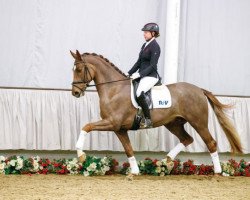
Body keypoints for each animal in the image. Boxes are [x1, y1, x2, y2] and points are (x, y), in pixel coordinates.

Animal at [70, 49, 242, 175]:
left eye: (79, 69)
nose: (75, 93)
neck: (114, 90)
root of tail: (199, 90)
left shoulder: (112, 123)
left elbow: (86, 126)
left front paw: (81, 155)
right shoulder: (119, 129)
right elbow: (128, 149)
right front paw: (135, 171)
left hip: (198, 122)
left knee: (210, 142)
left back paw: (218, 172)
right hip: (173, 123)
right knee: (187, 139)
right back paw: (166, 160)